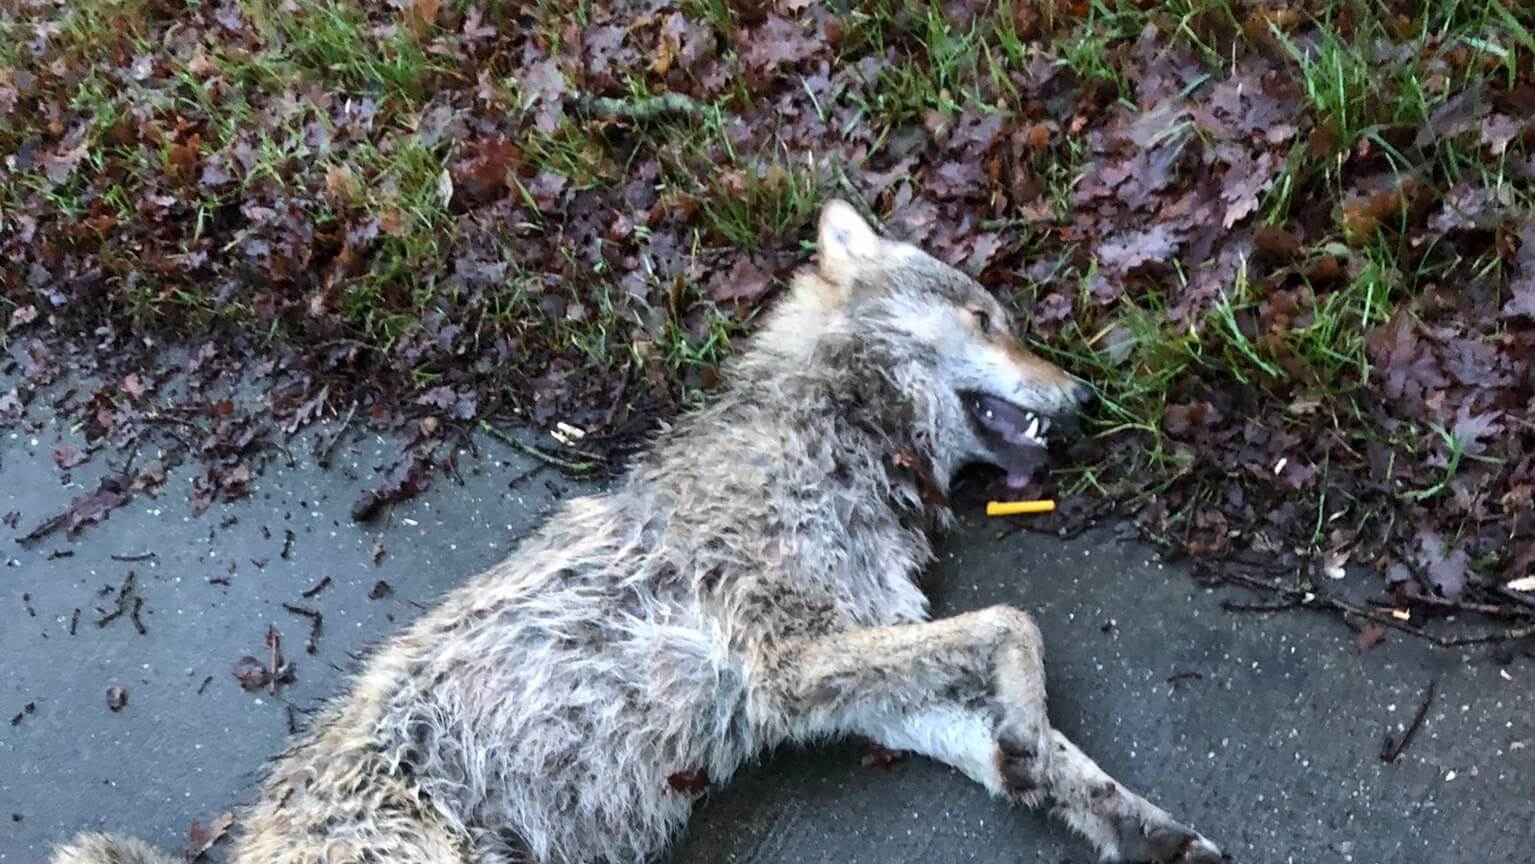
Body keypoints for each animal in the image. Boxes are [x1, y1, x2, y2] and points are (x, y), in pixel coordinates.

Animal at [52, 201, 1223, 864]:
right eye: (988, 322)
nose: (1085, 395)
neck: (825, 437)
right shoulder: (790, 663)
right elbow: (1016, 622)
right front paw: (1032, 729)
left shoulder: (840, 691)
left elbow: (1036, 741)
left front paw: (1127, 820)